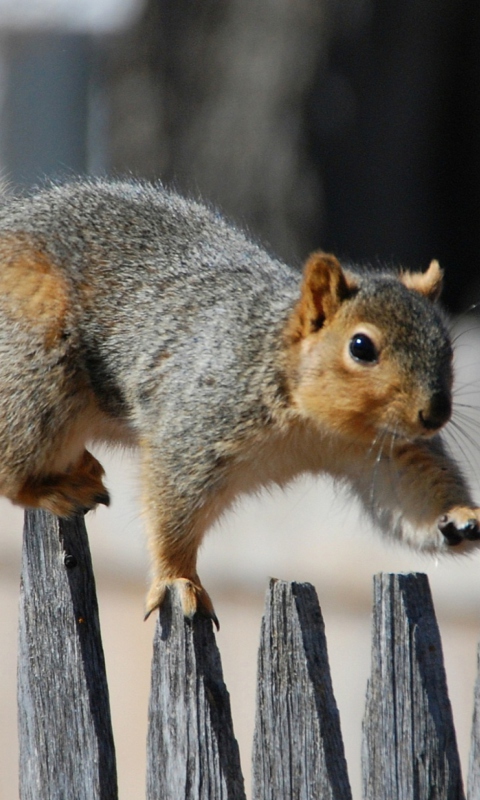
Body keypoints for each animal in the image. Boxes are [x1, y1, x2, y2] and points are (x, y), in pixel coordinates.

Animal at [0, 178, 476, 628]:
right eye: (361, 347)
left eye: (448, 347)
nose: (435, 414)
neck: (313, 424)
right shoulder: (197, 426)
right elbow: (172, 510)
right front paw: (178, 579)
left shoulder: (383, 450)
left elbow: (408, 490)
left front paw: (461, 517)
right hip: (37, 375)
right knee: (13, 467)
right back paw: (55, 487)